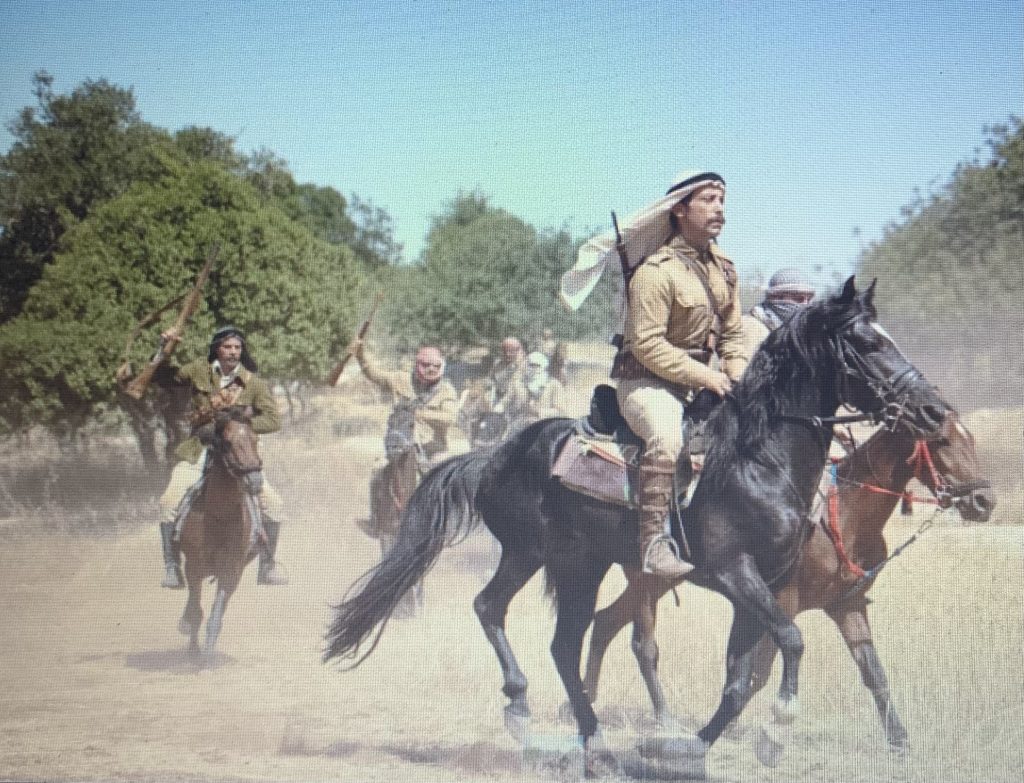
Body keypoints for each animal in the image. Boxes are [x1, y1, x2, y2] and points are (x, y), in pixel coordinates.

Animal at [178, 407, 265, 657]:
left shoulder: (233, 568)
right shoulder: (193, 565)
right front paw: (193, 647)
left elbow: (217, 611)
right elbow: (196, 609)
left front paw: (207, 651)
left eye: (255, 439)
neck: (219, 516)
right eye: (227, 443)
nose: (255, 480)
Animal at [324, 277, 949, 771]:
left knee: (515, 619)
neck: (759, 457)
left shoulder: (767, 584)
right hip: (561, 562)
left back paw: (545, 717)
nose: (935, 410)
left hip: (552, 560)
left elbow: (741, 677)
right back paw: (572, 732)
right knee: (540, 633)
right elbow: (789, 643)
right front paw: (778, 724)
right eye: (868, 343)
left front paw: (686, 748)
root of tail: (498, 454)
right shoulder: (735, 573)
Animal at [578, 407, 996, 760]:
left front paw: (900, 743)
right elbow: (759, 673)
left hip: (654, 581)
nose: (984, 501)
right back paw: (658, 719)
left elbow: (874, 673)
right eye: (943, 441)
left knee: (606, 621)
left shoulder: (847, 605)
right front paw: (765, 735)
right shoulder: (782, 601)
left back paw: (590, 699)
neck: (844, 515)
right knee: (641, 643)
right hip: (647, 579)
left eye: (971, 438)